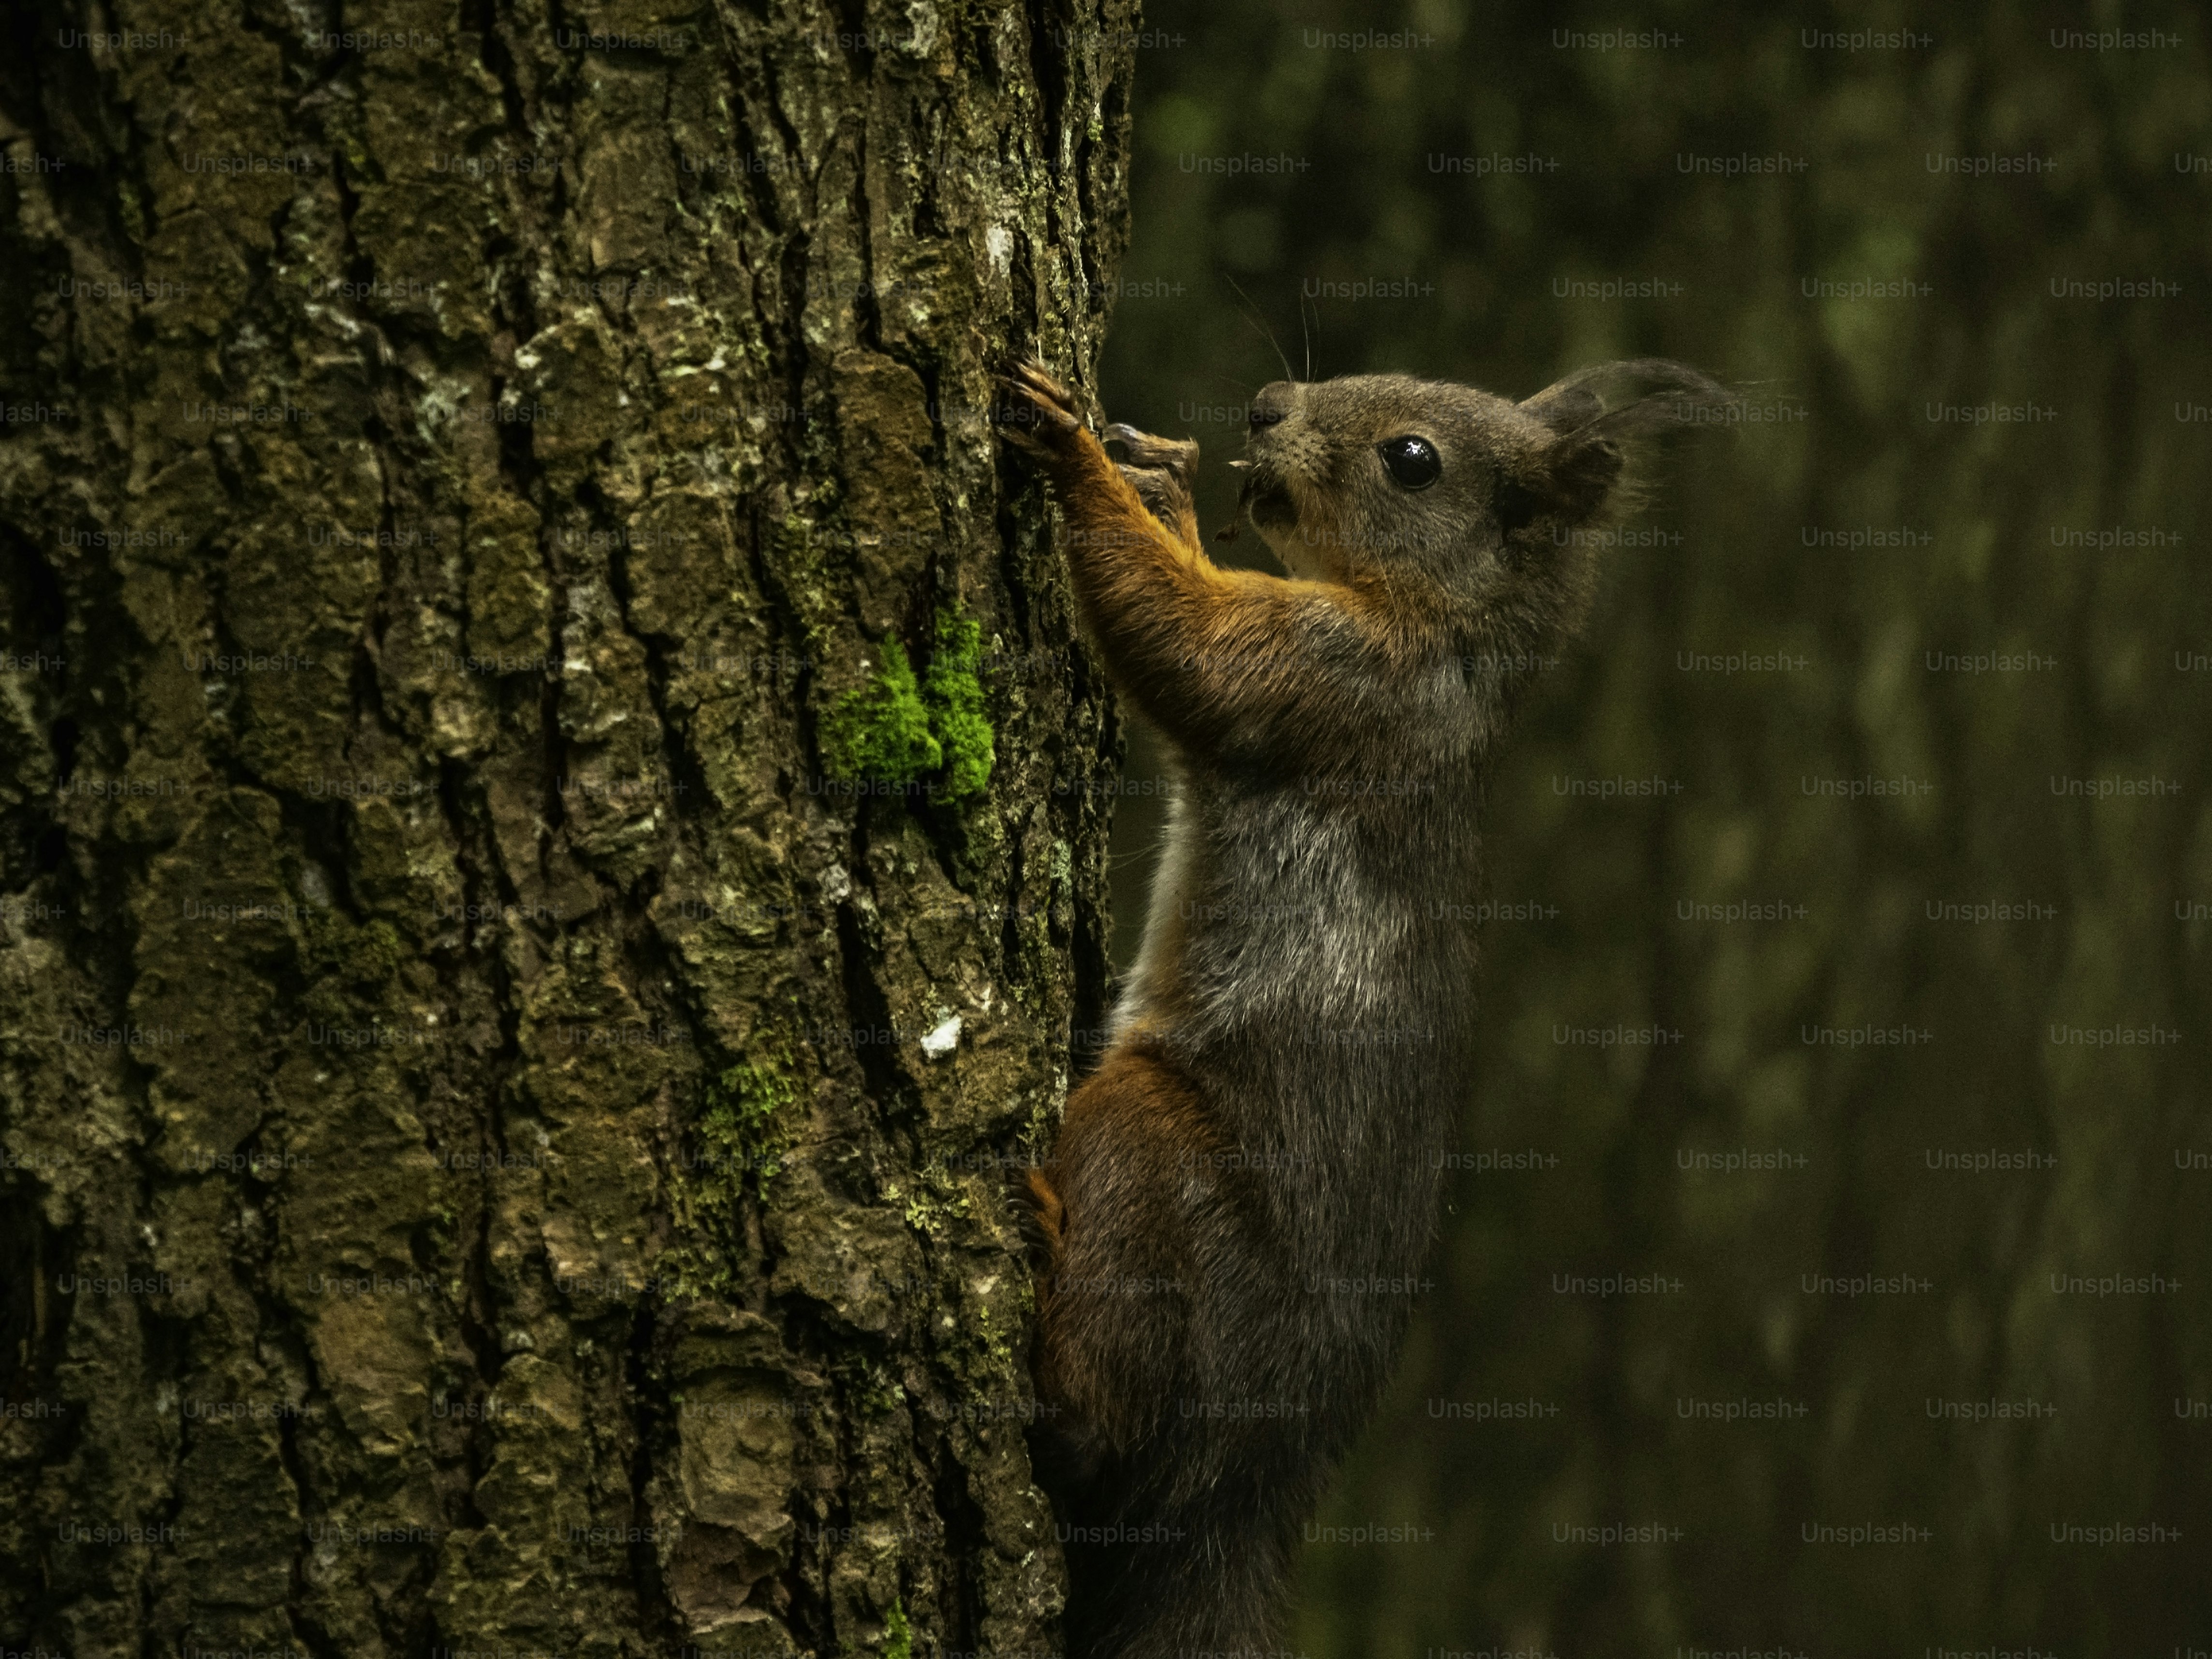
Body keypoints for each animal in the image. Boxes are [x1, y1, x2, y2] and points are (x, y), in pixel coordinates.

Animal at [998, 354, 1728, 1659]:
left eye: (1412, 460)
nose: (1263, 406)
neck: (1442, 638)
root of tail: (1244, 1484)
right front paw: (1159, 483)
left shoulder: (1337, 683)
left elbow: (1188, 645)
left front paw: (1075, 457)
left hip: (1158, 1152)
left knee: (1099, 1436)